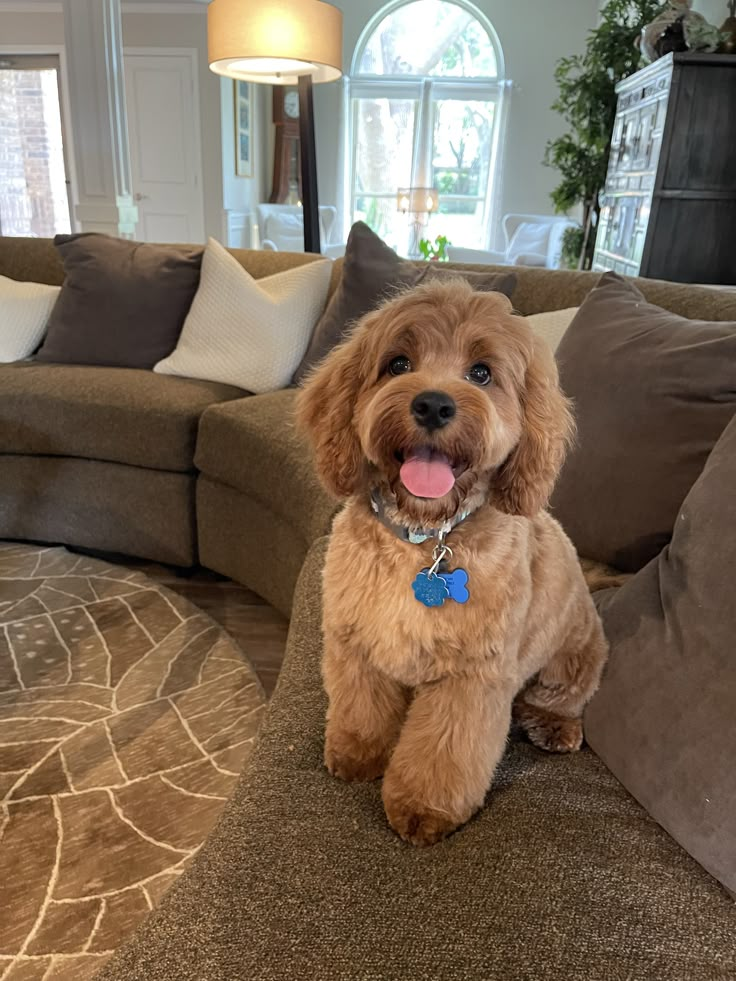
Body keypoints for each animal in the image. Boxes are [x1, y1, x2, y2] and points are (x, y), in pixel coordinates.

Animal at [296, 276, 608, 844]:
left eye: (481, 373)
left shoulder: (472, 677)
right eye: (398, 363)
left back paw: (552, 724)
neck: (424, 534)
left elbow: (444, 749)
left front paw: (424, 807)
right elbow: (361, 706)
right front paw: (358, 753)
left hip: (576, 654)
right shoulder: (356, 642)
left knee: (564, 697)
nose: (433, 405)